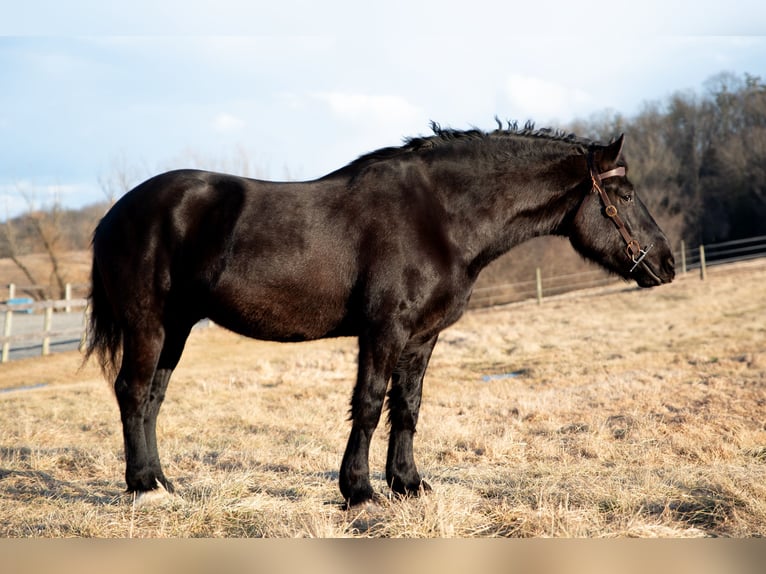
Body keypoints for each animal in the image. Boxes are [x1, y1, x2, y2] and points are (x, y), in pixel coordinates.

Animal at [87, 122, 676, 508]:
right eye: (625, 195)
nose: (667, 263)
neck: (438, 216)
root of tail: (115, 215)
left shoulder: (421, 337)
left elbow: (407, 407)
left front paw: (408, 484)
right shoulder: (383, 331)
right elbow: (369, 405)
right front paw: (360, 492)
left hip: (177, 329)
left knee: (153, 399)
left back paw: (162, 482)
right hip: (149, 325)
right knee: (132, 393)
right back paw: (142, 487)